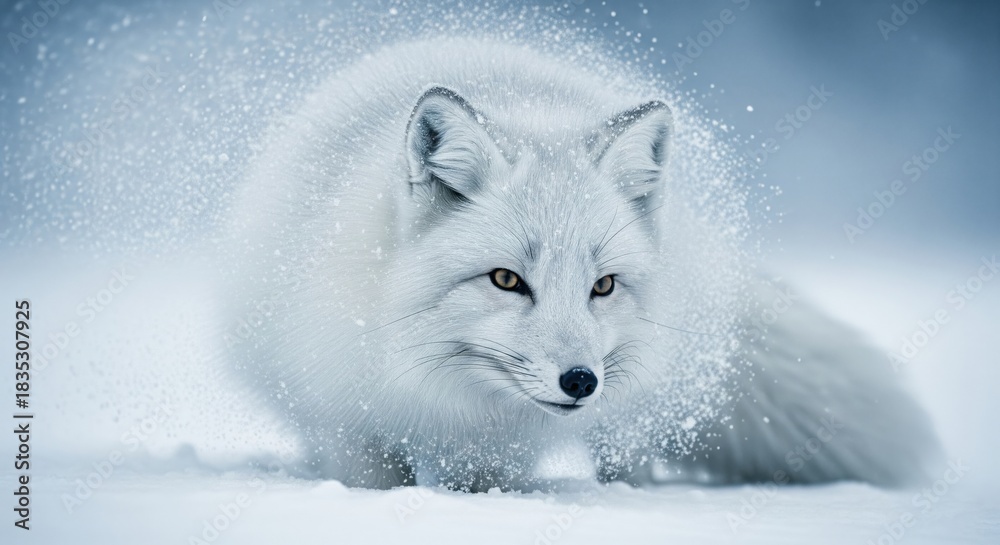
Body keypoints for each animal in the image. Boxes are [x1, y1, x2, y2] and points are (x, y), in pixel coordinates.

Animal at [225, 38, 940, 491]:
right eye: (506, 280)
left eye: (603, 285)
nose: (580, 381)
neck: (454, 403)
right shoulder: (346, 419)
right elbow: (370, 475)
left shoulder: (500, 452)